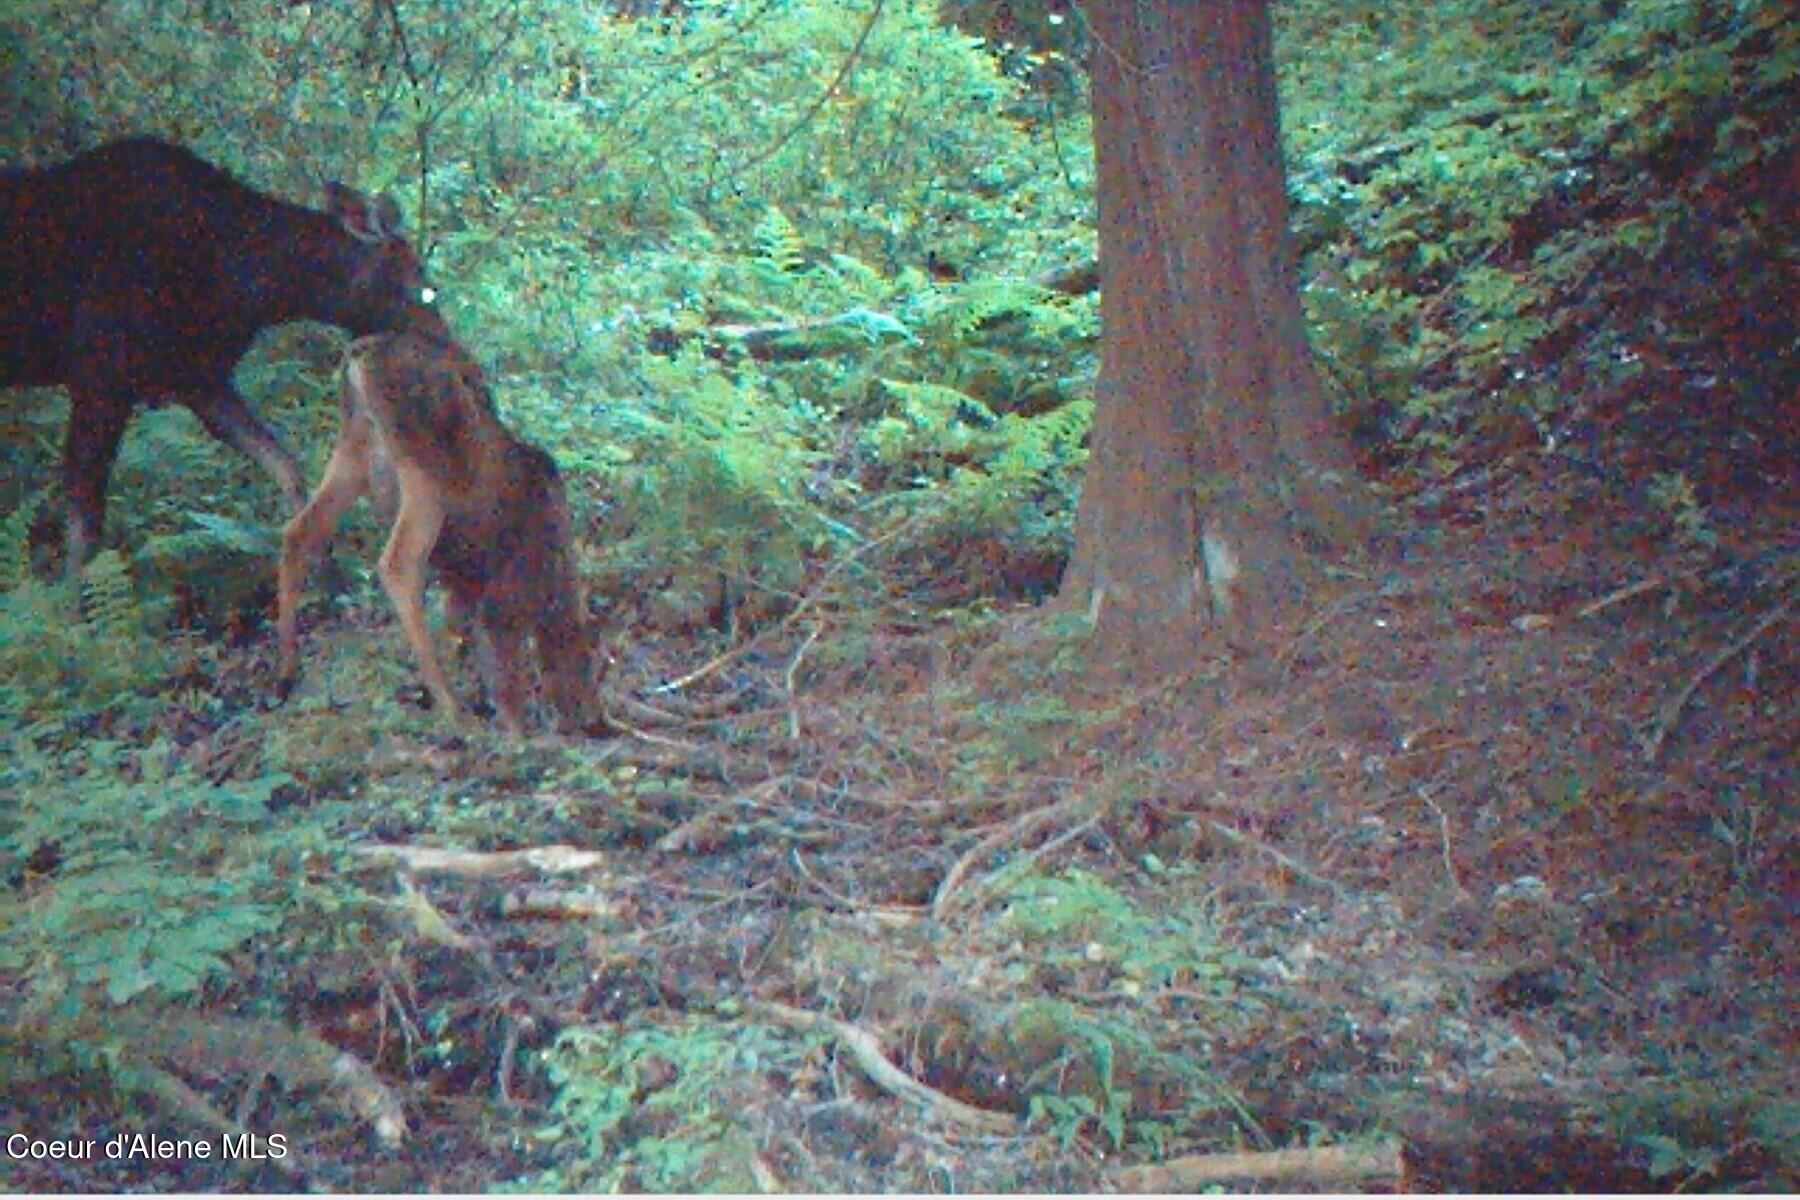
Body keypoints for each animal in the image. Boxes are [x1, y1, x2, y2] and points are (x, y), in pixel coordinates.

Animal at [276, 328, 603, 735]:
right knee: (398, 563)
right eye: (588, 665)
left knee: (298, 530)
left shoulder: (463, 581)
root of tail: (358, 355)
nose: (596, 720)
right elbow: (502, 659)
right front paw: (516, 727)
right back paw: (451, 705)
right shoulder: (510, 583)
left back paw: (286, 672)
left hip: (353, 450)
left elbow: (465, 631)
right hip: (424, 467)